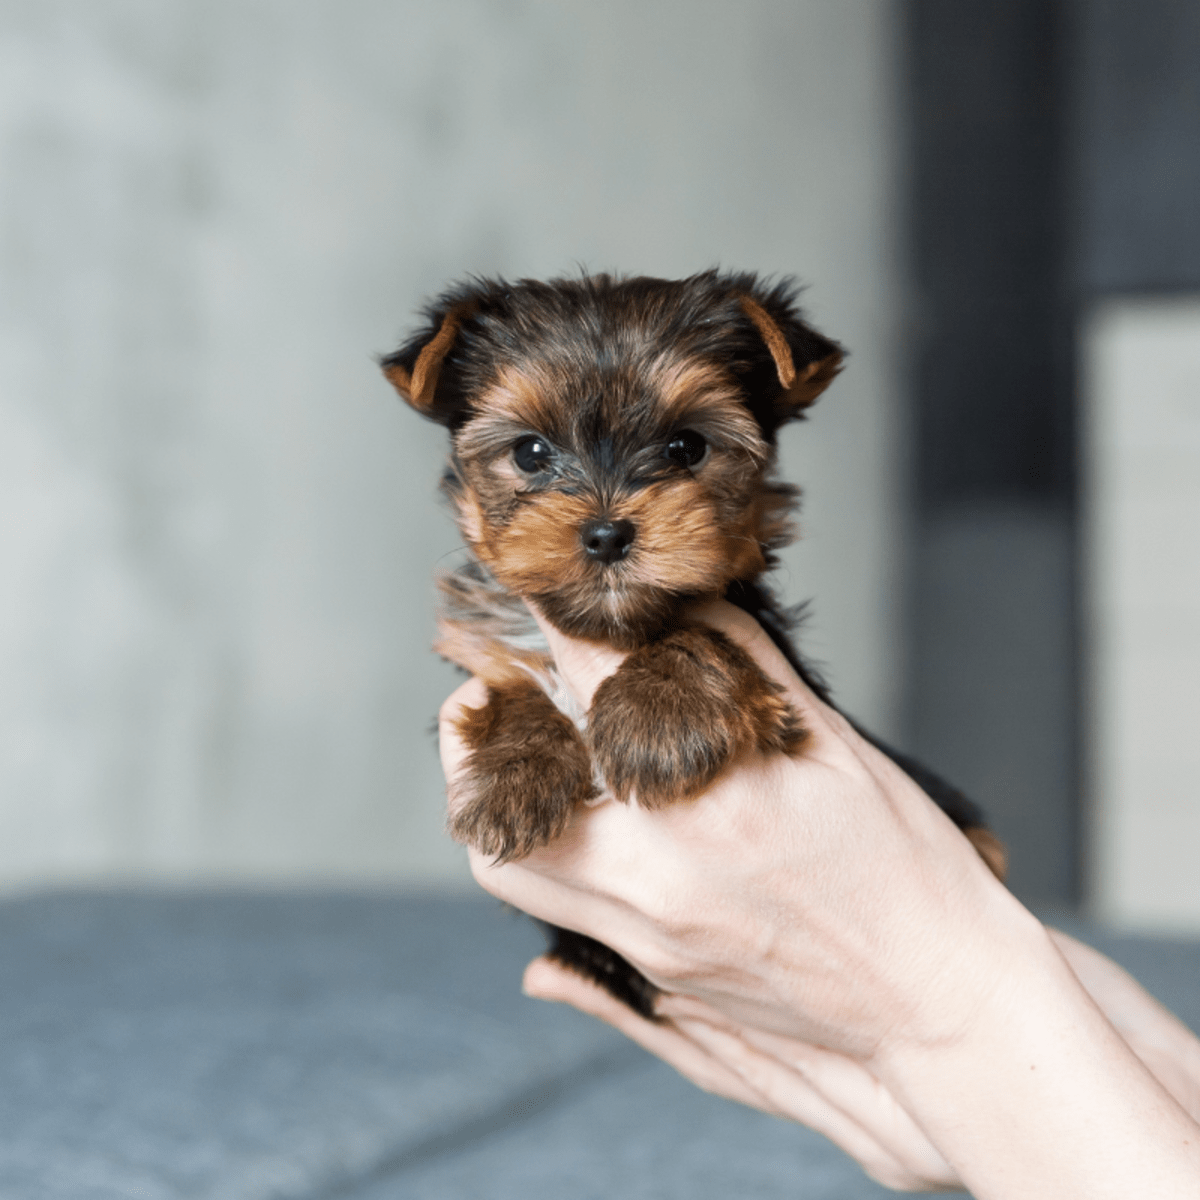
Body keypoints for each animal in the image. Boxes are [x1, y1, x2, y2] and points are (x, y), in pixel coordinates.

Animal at [381, 272, 1003, 1012]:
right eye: (530, 452)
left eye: (687, 448)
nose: (606, 534)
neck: (612, 628)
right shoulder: (483, 649)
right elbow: (512, 687)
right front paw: (514, 776)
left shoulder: (774, 658)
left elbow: (701, 630)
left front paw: (656, 718)